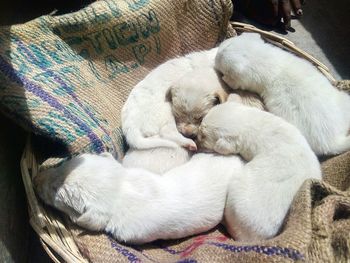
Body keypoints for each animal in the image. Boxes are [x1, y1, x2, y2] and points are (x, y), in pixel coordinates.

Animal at [215, 33, 350, 157]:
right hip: (344, 100)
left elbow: (234, 82)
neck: (267, 59)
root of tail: (333, 141)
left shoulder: (245, 80)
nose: (216, 55)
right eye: (225, 44)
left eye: (220, 56)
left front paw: (225, 78)